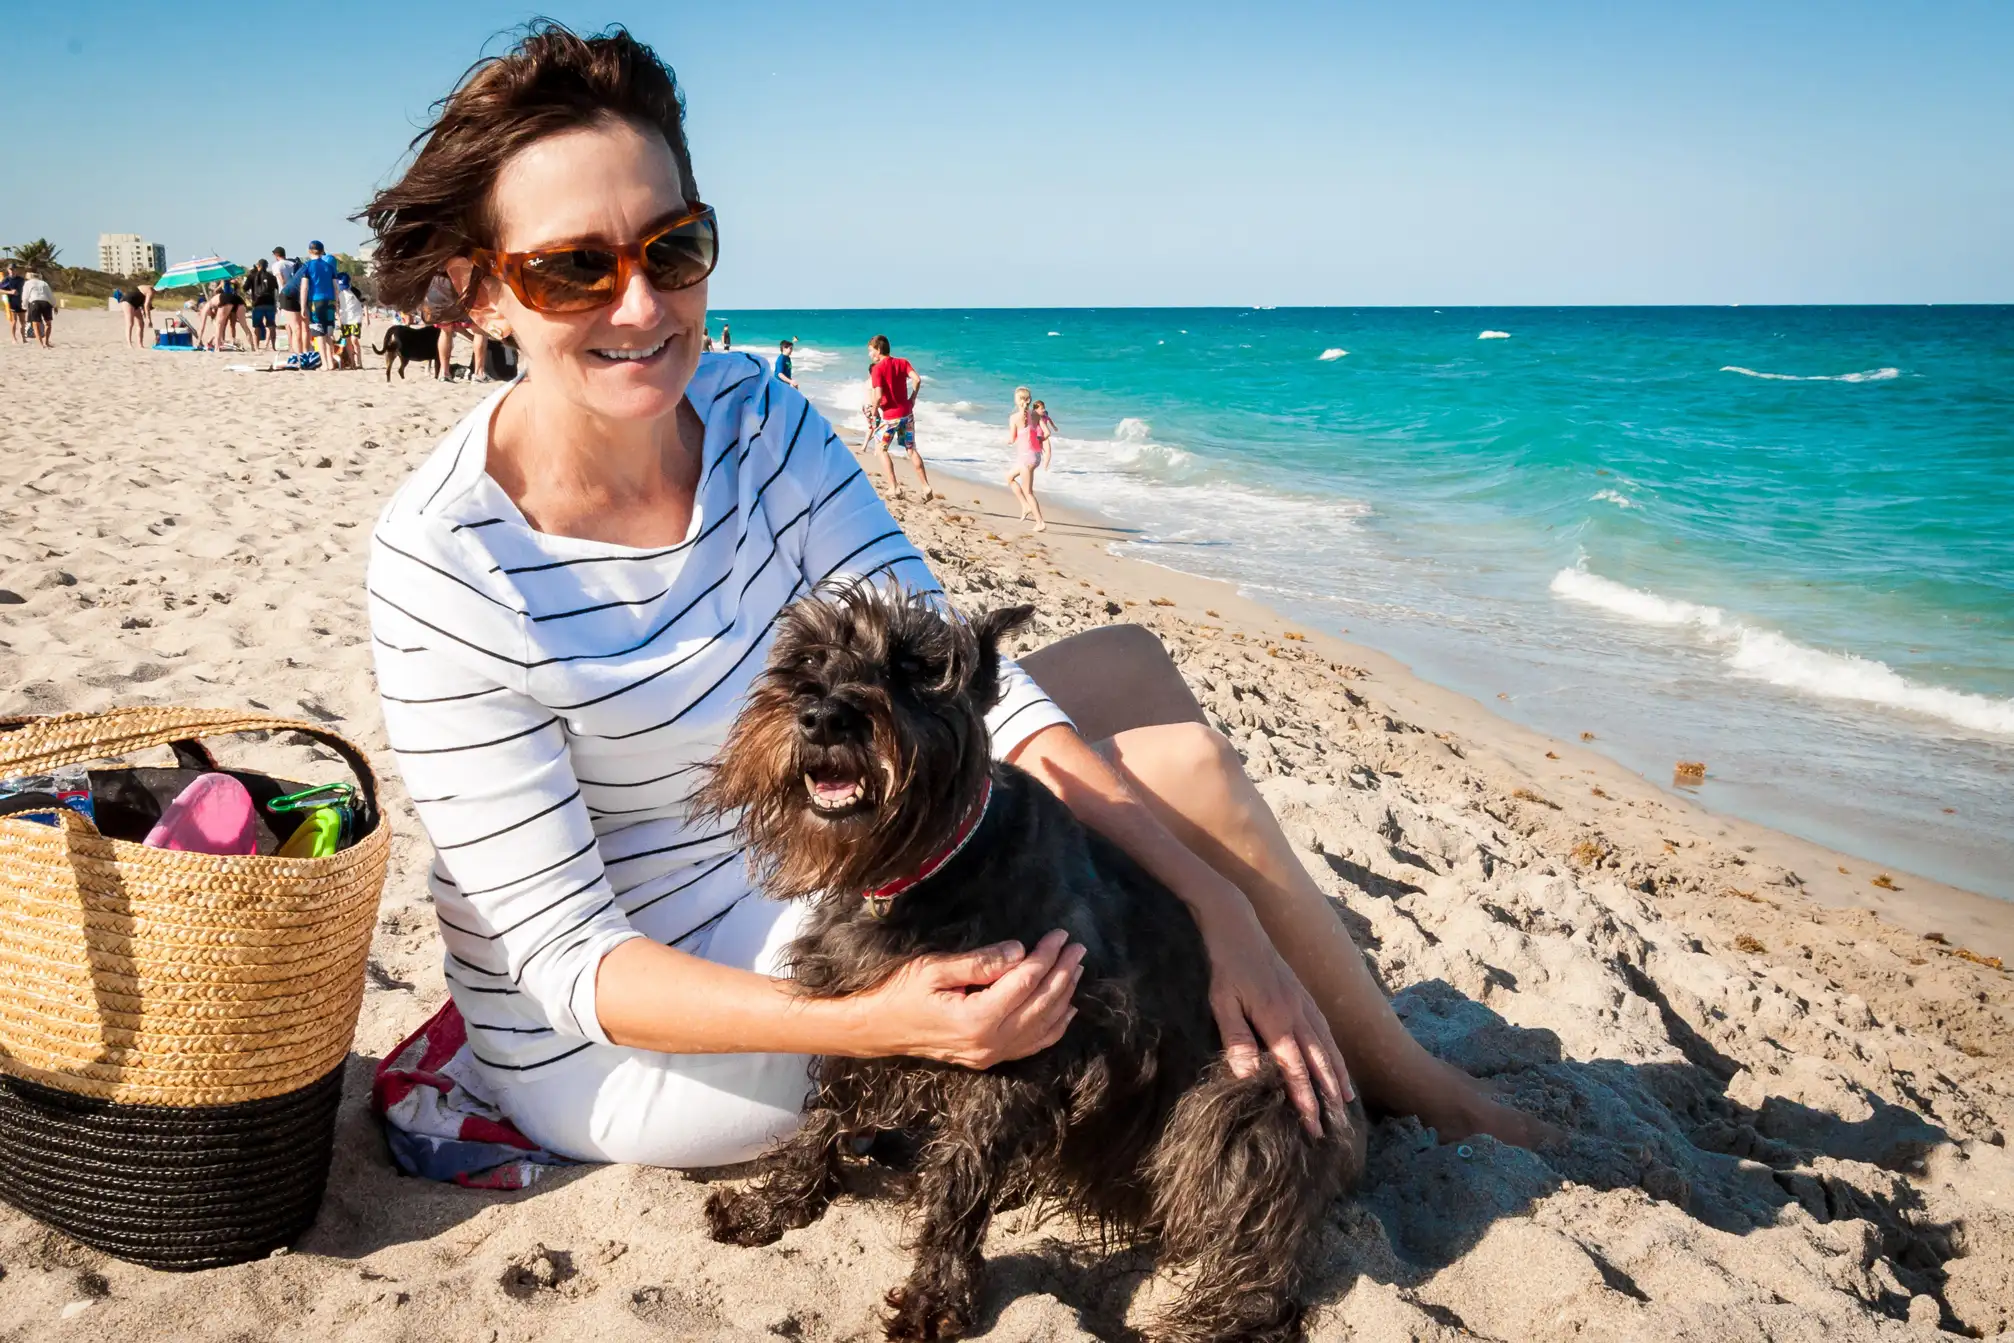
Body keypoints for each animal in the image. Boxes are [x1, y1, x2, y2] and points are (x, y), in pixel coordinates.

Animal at [692, 583, 1369, 1343]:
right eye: (808, 656)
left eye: (916, 669)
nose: (824, 716)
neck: (928, 869)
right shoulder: (860, 1007)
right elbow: (822, 1118)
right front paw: (772, 1206)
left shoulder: (1018, 1051)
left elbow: (961, 1180)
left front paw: (934, 1294)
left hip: (1248, 1097)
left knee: (1262, 1266)